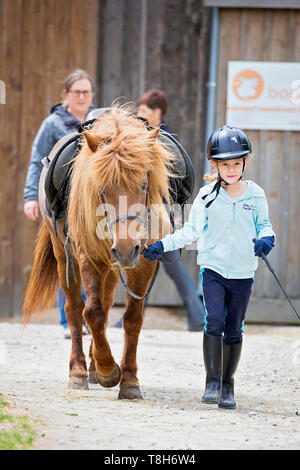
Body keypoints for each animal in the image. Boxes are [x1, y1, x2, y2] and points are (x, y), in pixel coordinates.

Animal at [23, 107, 173, 400]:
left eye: (143, 185)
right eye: (102, 189)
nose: (125, 249)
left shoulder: (143, 264)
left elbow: (132, 319)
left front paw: (129, 380)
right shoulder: (88, 258)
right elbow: (91, 313)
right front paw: (107, 370)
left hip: (112, 268)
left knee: (104, 303)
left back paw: (92, 369)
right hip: (66, 259)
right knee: (74, 310)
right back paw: (80, 372)